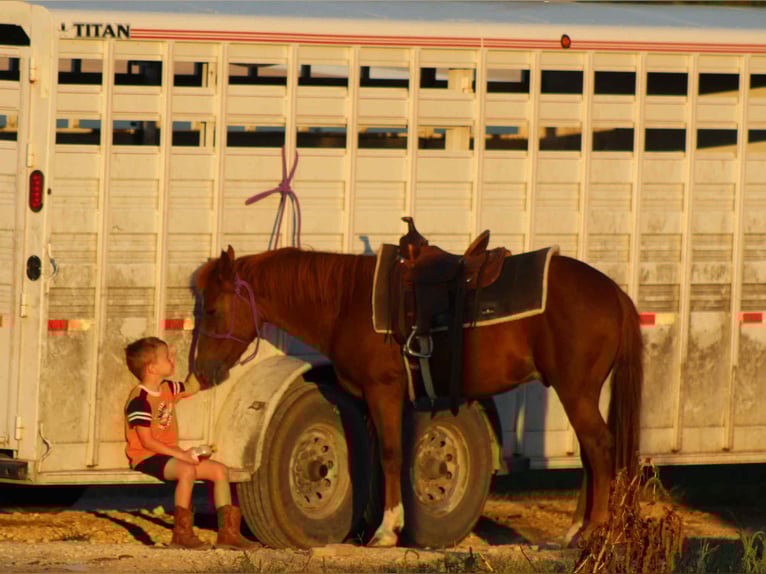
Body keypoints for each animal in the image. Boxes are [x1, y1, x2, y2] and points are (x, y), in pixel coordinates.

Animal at [191, 232, 643, 548]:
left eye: (212, 309)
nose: (201, 370)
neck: (348, 302)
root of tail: (615, 294)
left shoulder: (384, 392)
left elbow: (391, 456)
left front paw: (386, 532)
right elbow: (380, 459)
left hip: (575, 390)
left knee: (599, 447)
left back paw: (593, 531)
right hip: (580, 392)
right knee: (590, 452)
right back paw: (573, 533)